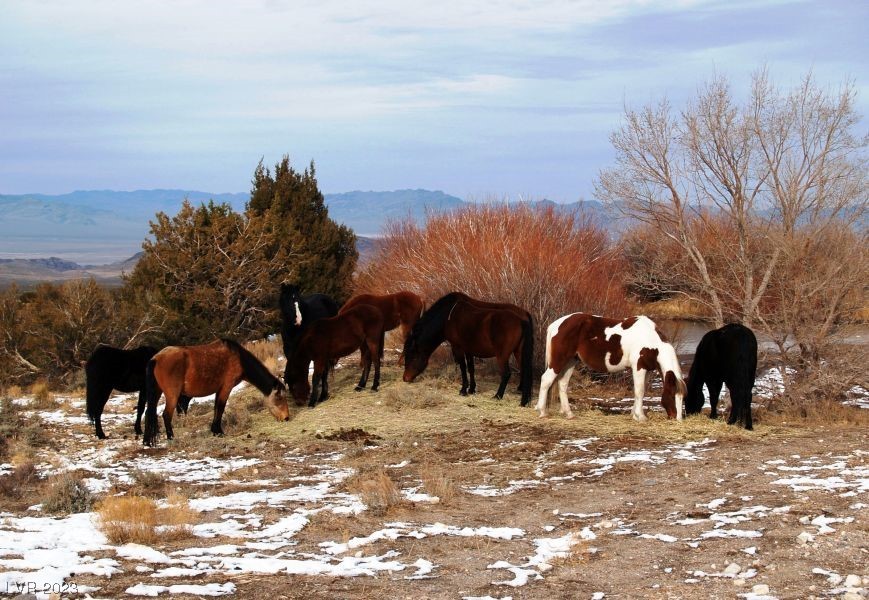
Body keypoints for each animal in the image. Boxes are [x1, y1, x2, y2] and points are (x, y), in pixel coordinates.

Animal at [142, 338, 288, 446]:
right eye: (280, 398)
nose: (286, 418)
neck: (238, 358)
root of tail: (155, 359)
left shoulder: (219, 389)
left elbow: (216, 408)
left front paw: (215, 430)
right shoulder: (226, 387)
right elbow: (221, 408)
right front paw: (219, 431)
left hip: (157, 392)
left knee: (149, 413)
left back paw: (147, 441)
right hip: (172, 395)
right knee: (166, 415)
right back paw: (171, 438)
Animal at [402, 292, 536, 406]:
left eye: (412, 356)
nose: (405, 378)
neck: (448, 316)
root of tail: (522, 319)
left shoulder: (457, 347)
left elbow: (463, 367)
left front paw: (463, 390)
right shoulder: (469, 349)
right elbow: (471, 368)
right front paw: (471, 389)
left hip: (502, 355)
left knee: (507, 373)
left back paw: (498, 396)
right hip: (519, 352)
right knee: (526, 371)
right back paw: (524, 400)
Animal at [536, 314, 684, 422]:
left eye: (682, 396)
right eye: (672, 395)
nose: (677, 419)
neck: (650, 340)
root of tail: (557, 324)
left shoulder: (646, 369)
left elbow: (640, 391)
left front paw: (634, 414)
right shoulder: (639, 367)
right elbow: (640, 391)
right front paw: (641, 417)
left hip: (571, 361)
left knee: (562, 384)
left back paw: (569, 414)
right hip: (559, 361)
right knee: (546, 380)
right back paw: (542, 412)